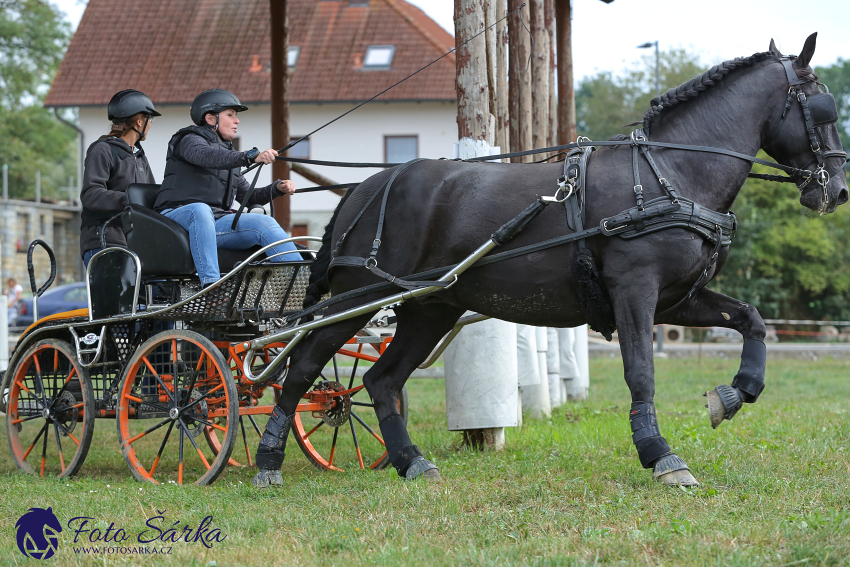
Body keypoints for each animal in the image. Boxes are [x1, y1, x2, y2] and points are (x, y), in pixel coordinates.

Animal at [248, 35, 844, 488]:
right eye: (822, 109)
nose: (835, 190)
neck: (668, 172)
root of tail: (365, 189)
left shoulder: (677, 299)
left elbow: (751, 320)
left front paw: (734, 394)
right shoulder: (635, 290)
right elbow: (641, 371)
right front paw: (660, 454)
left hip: (428, 308)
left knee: (381, 381)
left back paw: (410, 461)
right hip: (361, 297)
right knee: (303, 367)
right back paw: (268, 460)